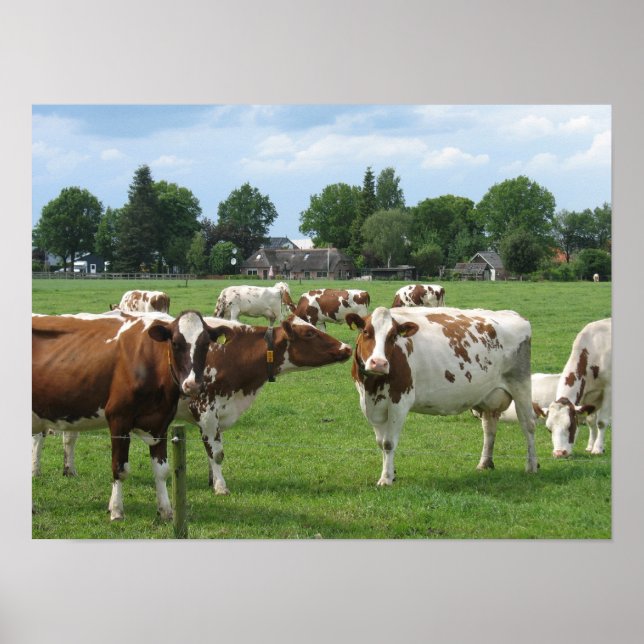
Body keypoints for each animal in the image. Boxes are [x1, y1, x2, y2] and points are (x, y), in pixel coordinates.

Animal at [32, 310, 232, 520]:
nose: (192, 385)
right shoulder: (119, 419)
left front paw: (166, 511)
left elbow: (162, 470)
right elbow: (119, 468)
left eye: (206, 344)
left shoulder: (161, 422)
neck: (150, 364)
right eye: (175, 343)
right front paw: (116, 510)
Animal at [347, 306, 538, 485]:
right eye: (366, 332)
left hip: (520, 383)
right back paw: (484, 464)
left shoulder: (400, 400)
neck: (372, 385)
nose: (379, 363)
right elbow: (381, 442)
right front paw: (391, 474)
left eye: (393, 336)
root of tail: (514, 314)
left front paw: (386, 479)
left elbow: (388, 443)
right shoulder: (370, 404)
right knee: (489, 427)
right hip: (489, 395)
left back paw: (532, 466)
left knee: (528, 424)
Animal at [544, 318, 611, 458]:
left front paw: (598, 448)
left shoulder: (608, 389)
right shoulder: (588, 396)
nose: (559, 453)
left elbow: (601, 422)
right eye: (549, 429)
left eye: (570, 426)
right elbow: (591, 420)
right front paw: (590, 446)